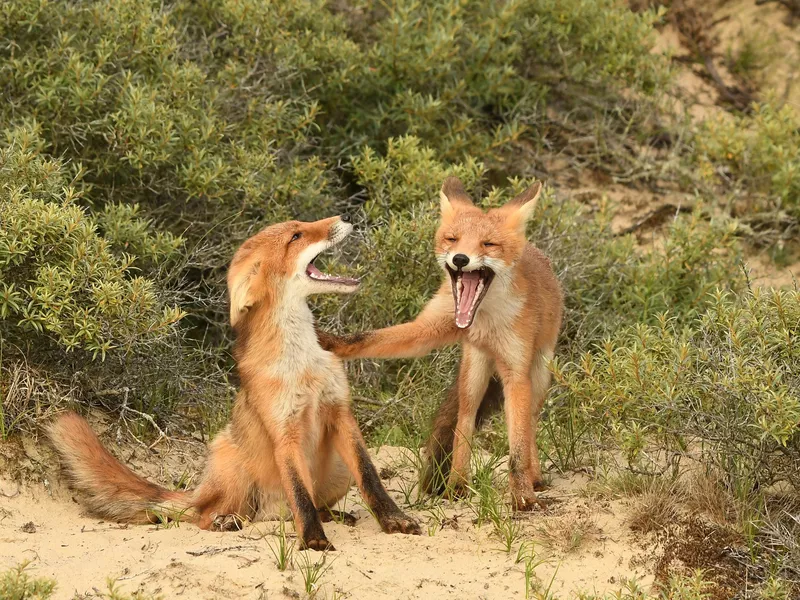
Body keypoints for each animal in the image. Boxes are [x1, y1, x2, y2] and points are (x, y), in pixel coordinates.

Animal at [318, 178, 564, 510]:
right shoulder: (429, 327)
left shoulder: (516, 371)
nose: (460, 259)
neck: (483, 319)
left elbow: (517, 448)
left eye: (488, 244)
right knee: (464, 421)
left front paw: (523, 495)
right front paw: (330, 341)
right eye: (453, 239)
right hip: (473, 376)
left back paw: (534, 477)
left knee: (530, 424)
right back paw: (456, 484)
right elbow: (370, 339)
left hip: (537, 376)